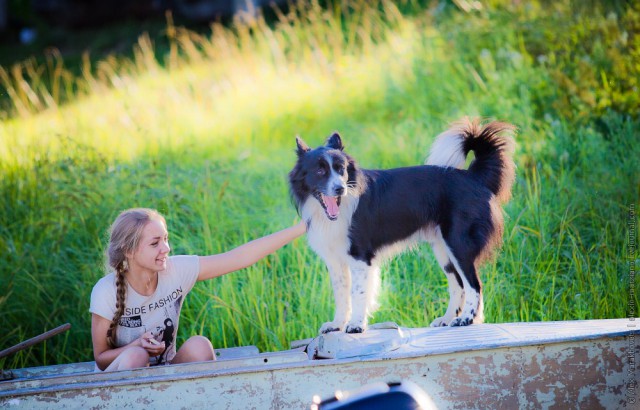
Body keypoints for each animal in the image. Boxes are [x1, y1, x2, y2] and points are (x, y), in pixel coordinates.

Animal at [290, 117, 516, 334]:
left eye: (341, 170)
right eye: (320, 171)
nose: (340, 188)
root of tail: (474, 176)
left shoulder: (360, 257)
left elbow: (358, 293)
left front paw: (356, 325)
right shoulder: (335, 261)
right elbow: (341, 295)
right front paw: (337, 324)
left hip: (458, 244)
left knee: (473, 284)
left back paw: (466, 319)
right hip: (444, 250)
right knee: (458, 285)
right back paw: (448, 319)